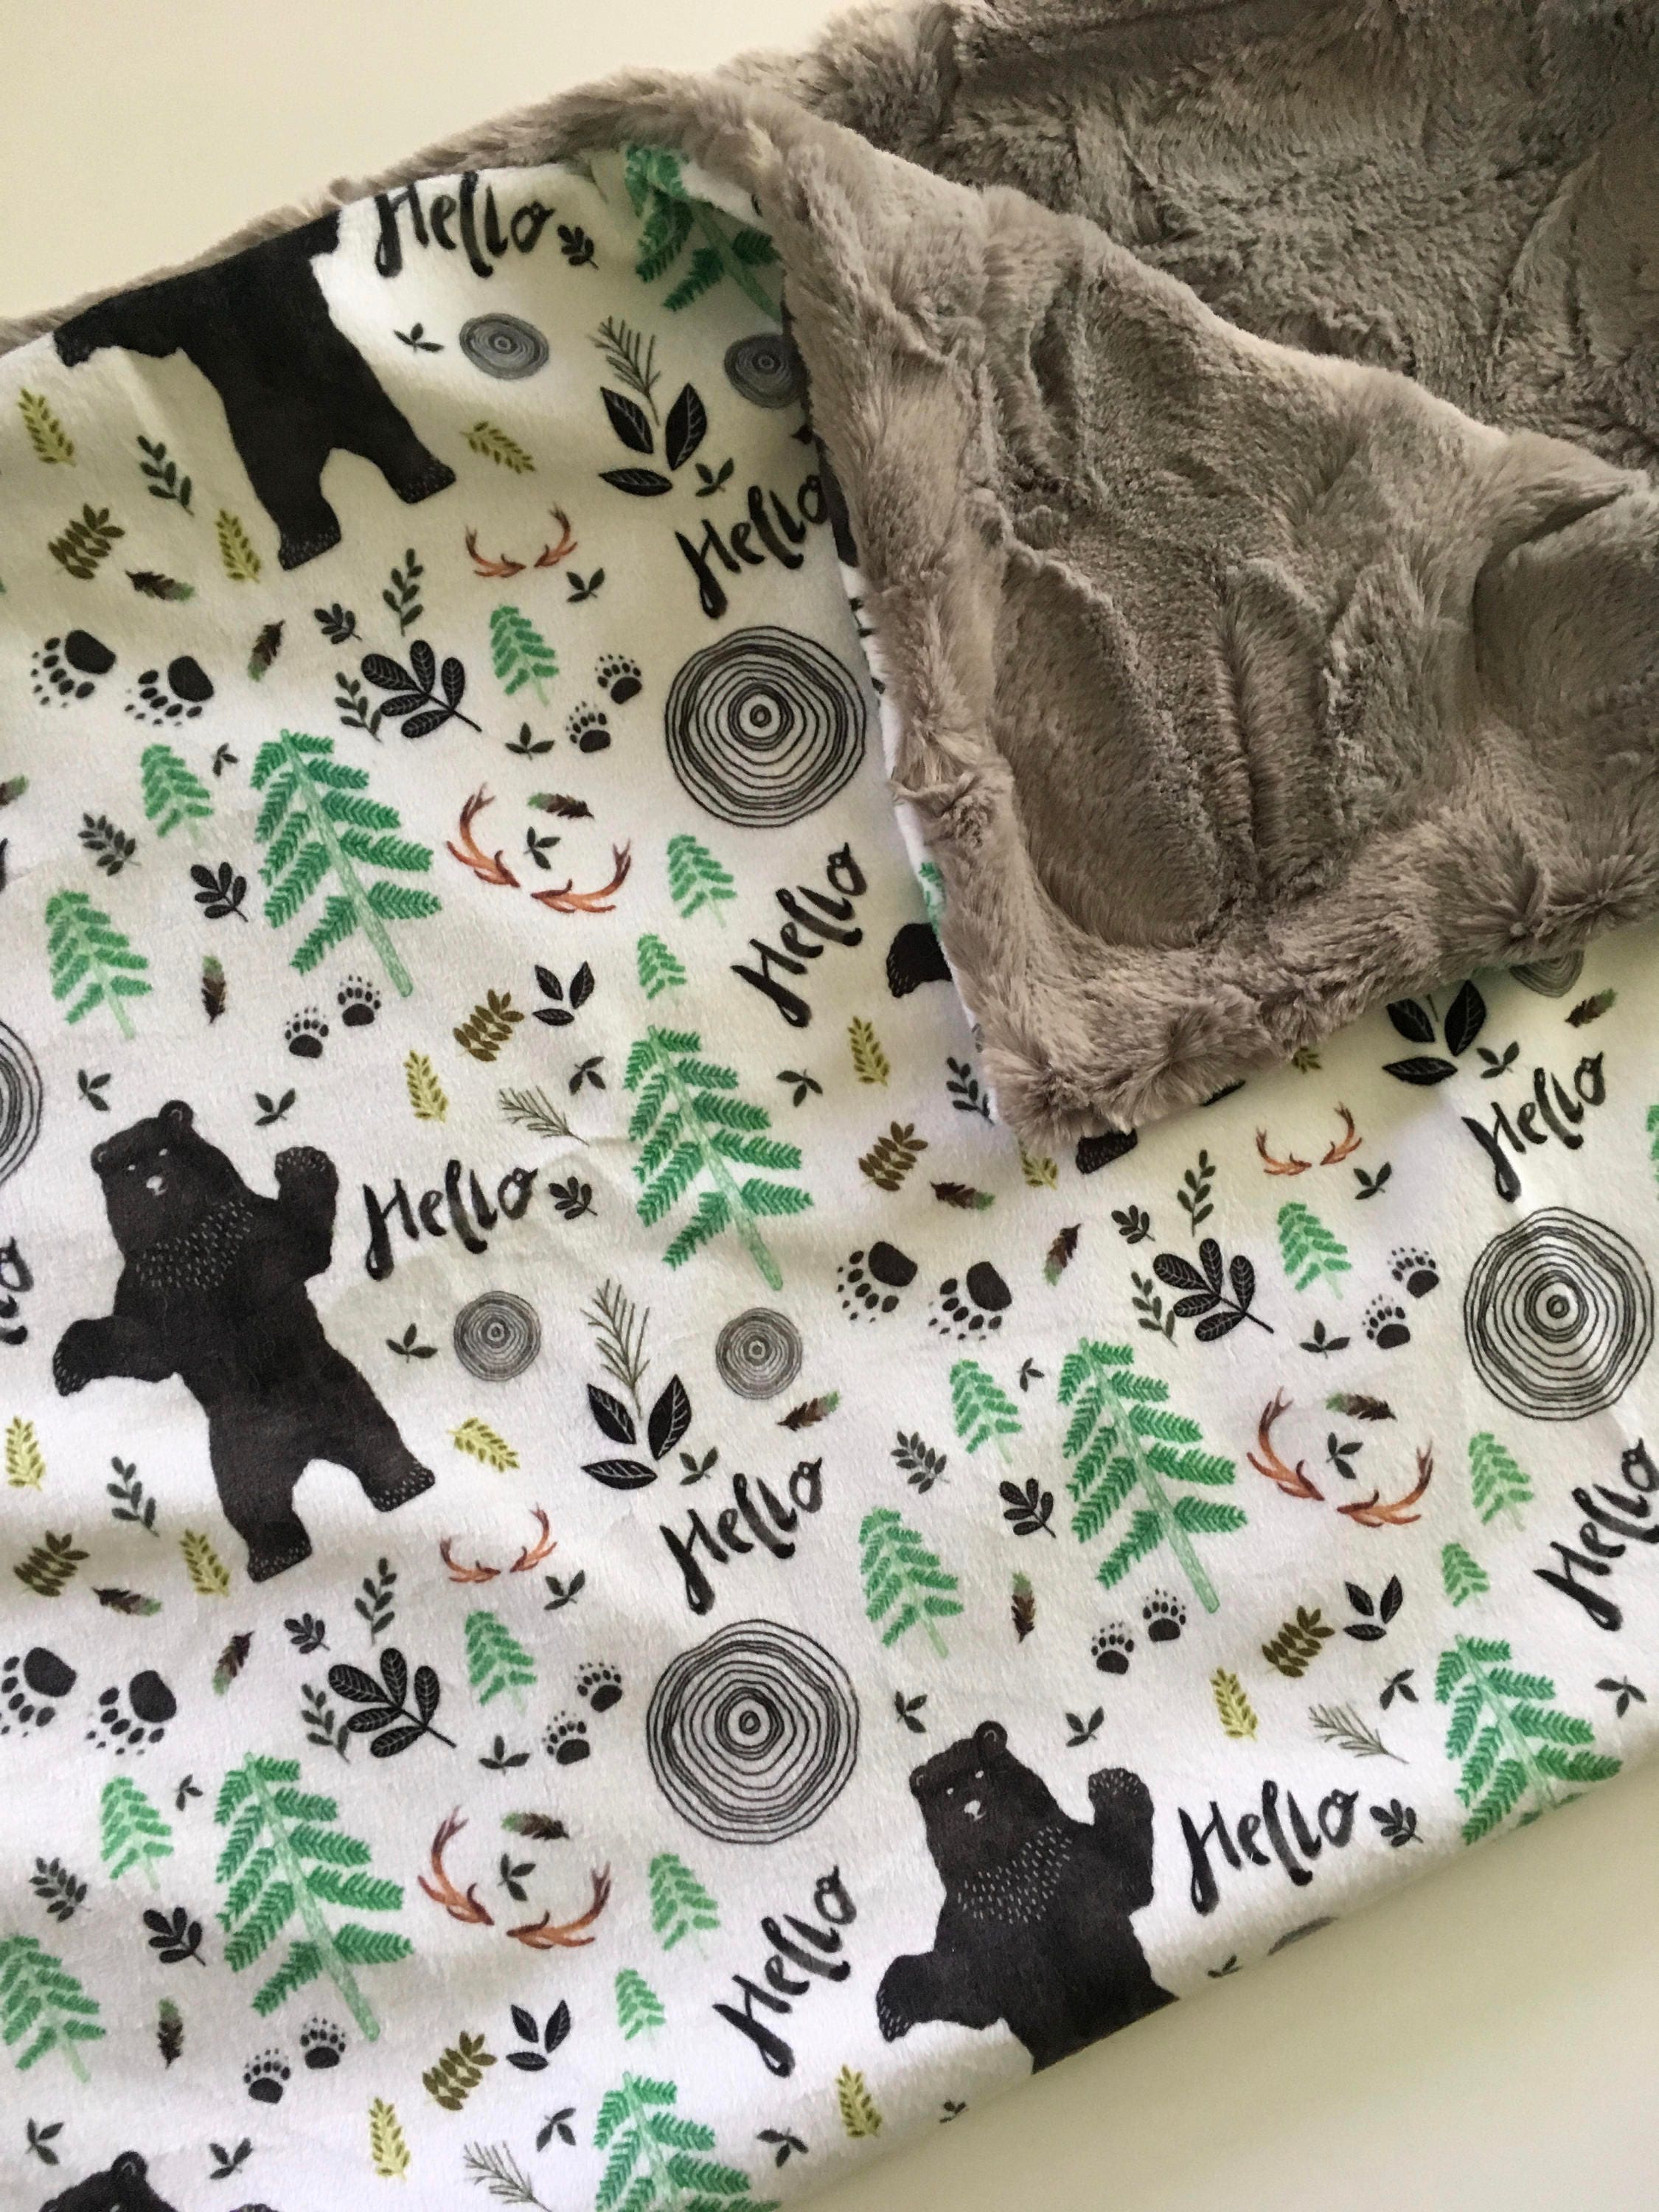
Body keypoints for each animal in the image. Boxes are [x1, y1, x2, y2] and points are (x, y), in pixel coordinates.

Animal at [53, 1100, 433, 1581]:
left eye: (164, 1150)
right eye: (131, 1169)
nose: (156, 1184)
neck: (189, 1240)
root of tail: (305, 1451)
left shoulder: (253, 1239)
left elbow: (302, 1242)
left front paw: (301, 1162)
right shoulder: (150, 1288)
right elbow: (146, 1350)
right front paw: (68, 1365)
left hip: (342, 1398)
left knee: (377, 1441)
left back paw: (404, 1484)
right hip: (236, 1448)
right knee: (252, 1500)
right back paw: (277, 1554)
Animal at [54, 211, 455, 569]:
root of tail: (326, 439)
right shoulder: (193, 304)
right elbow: (143, 325)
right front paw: (73, 339)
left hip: (352, 400)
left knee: (388, 440)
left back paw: (423, 481)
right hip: (272, 438)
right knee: (288, 488)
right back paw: (312, 541)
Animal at [875, 1719, 1174, 2071]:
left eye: (980, 1773)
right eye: (947, 1793)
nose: (972, 1809)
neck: (1010, 1870)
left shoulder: (1077, 1863)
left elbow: (1128, 1876)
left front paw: (1114, 1783)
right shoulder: (968, 1924)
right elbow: (968, 1992)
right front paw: (893, 2007)